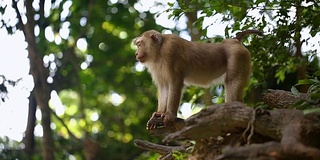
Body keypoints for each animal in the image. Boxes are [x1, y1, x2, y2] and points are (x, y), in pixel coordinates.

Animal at [134, 29, 262, 129]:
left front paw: (170, 115)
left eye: (140, 44)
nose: (136, 53)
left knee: (232, 82)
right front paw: (159, 113)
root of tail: (234, 40)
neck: (159, 51)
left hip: (238, 56)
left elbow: (175, 83)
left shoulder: (170, 51)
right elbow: (164, 87)